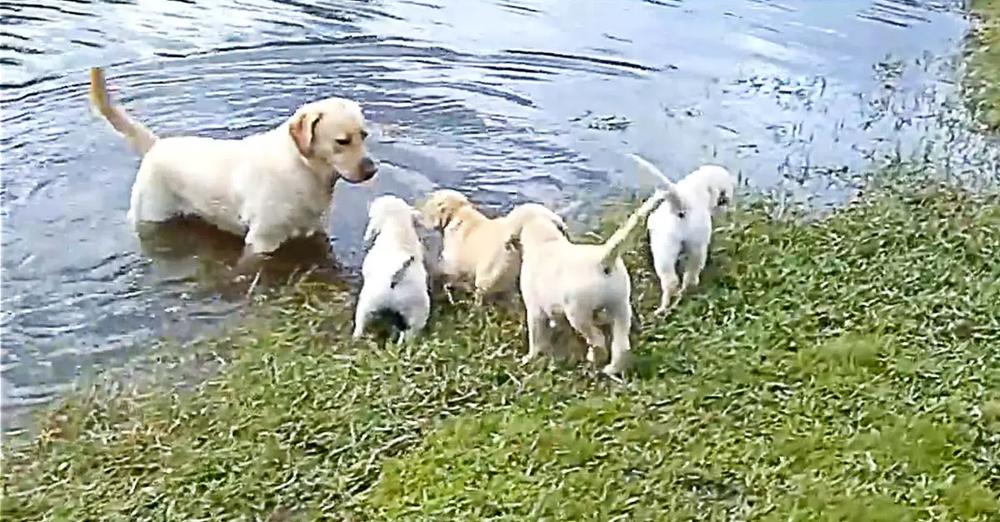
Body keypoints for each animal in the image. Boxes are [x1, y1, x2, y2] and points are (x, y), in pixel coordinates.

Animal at [88, 66, 378, 256]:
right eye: (342, 141)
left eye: (364, 135)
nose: (372, 169)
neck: (303, 169)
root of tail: (156, 144)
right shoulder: (262, 240)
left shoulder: (315, 229)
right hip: (153, 215)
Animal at [352, 195, 430, 342]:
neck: (398, 226)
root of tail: (396, 277)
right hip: (418, 313)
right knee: (409, 334)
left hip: (367, 302)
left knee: (360, 324)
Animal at [512, 183, 668, 374]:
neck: (545, 240)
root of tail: (602, 258)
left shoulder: (535, 311)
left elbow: (536, 339)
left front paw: (530, 358)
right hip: (621, 307)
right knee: (621, 346)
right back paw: (611, 369)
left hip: (578, 313)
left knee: (598, 340)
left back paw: (593, 358)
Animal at [632, 154, 736, 312]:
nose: (727, 207)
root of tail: (681, 207)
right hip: (693, 249)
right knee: (688, 278)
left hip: (665, 252)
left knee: (673, 281)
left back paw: (664, 307)